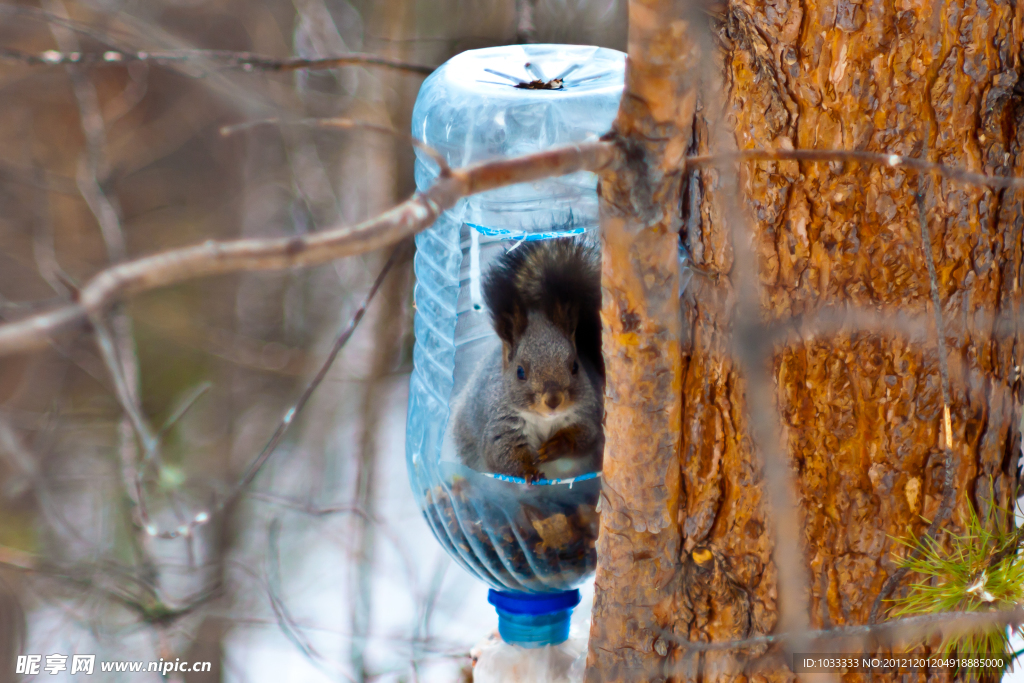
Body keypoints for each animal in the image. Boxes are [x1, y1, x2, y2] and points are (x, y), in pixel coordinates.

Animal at [452, 237, 602, 483]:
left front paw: (556, 446)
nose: (554, 400)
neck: (545, 420)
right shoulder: (502, 425)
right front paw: (528, 471)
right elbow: (503, 454)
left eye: (575, 366)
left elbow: (585, 436)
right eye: (520, 372)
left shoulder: (586, 412)